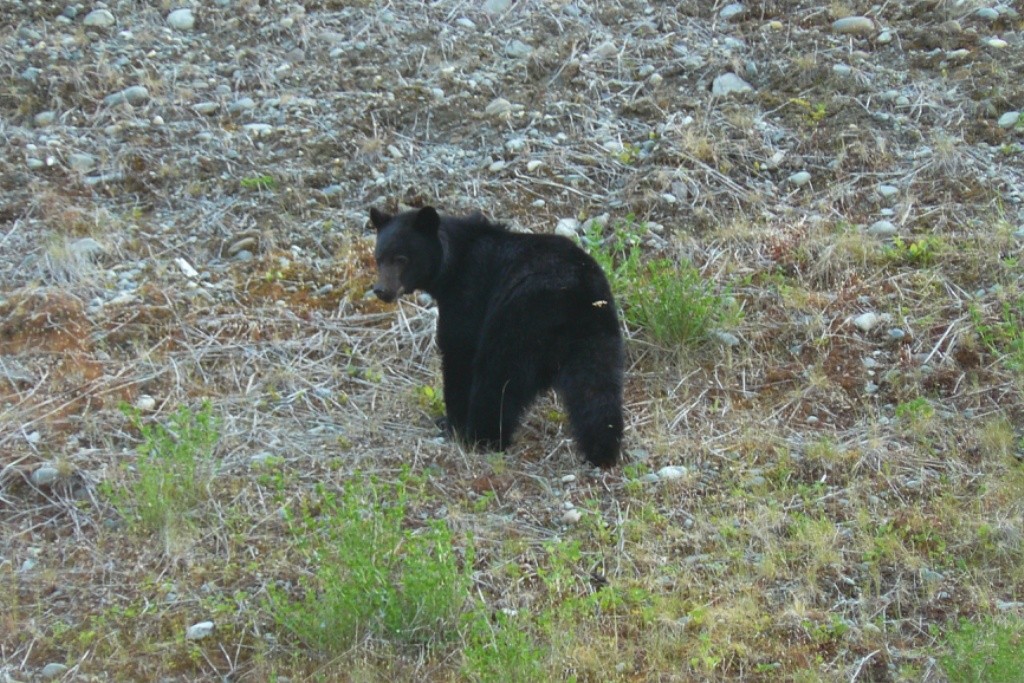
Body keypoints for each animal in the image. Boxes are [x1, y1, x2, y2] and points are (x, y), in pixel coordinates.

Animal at [370, 205, 624, 468]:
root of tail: (571, 297)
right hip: (596, 335)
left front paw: (452, 424)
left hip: (518, 322)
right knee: (596, 388)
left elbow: (459, 350)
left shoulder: (468, 292)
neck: (453, 263)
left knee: (497, 379)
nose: (381, 290)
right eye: (379, 258)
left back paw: (482, 437)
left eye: (401, 258)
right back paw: (603, 449)